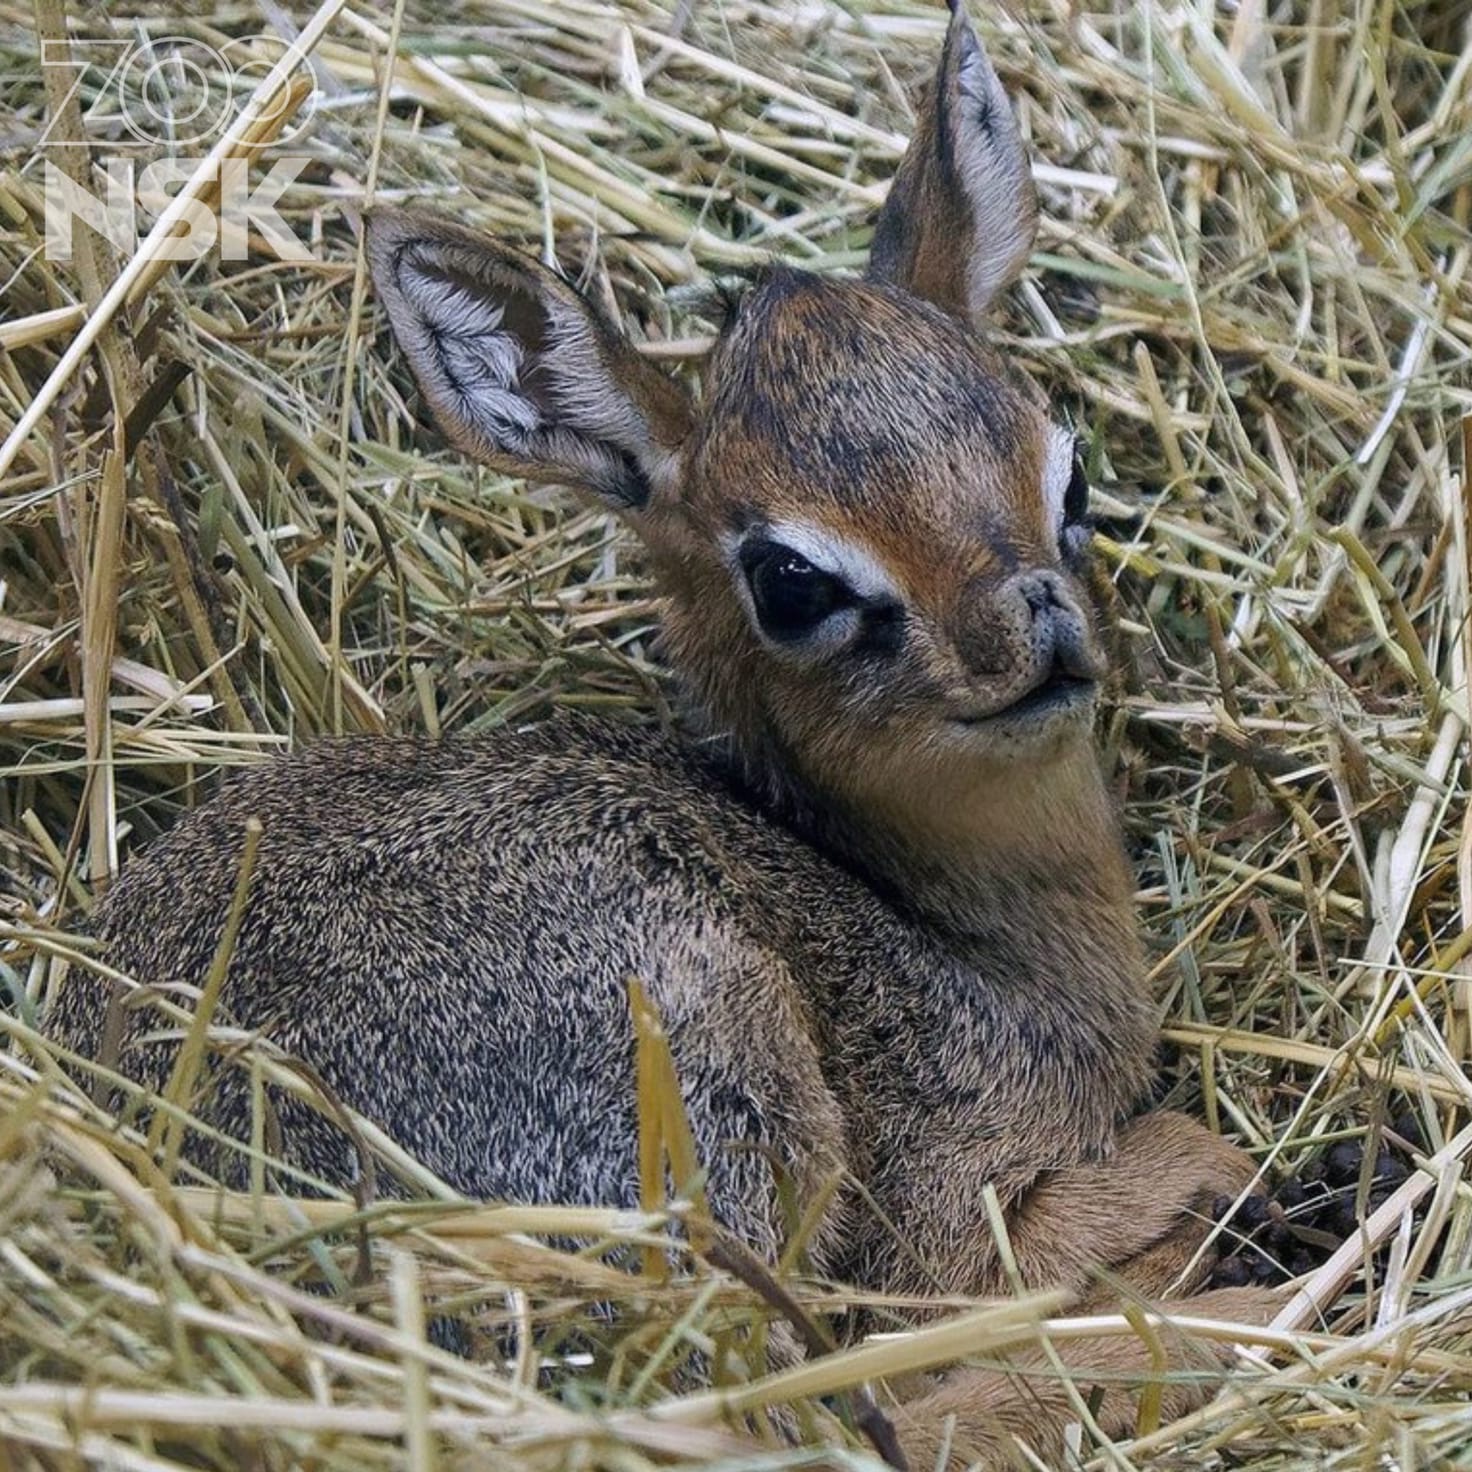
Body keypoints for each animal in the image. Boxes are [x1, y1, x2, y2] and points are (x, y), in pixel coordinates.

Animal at [51, 5, 1277, 1466]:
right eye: (792, 580)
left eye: (1070, 471)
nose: (1034, 620)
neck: (980, 941)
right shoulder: (942, 1217)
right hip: (720, 1095)